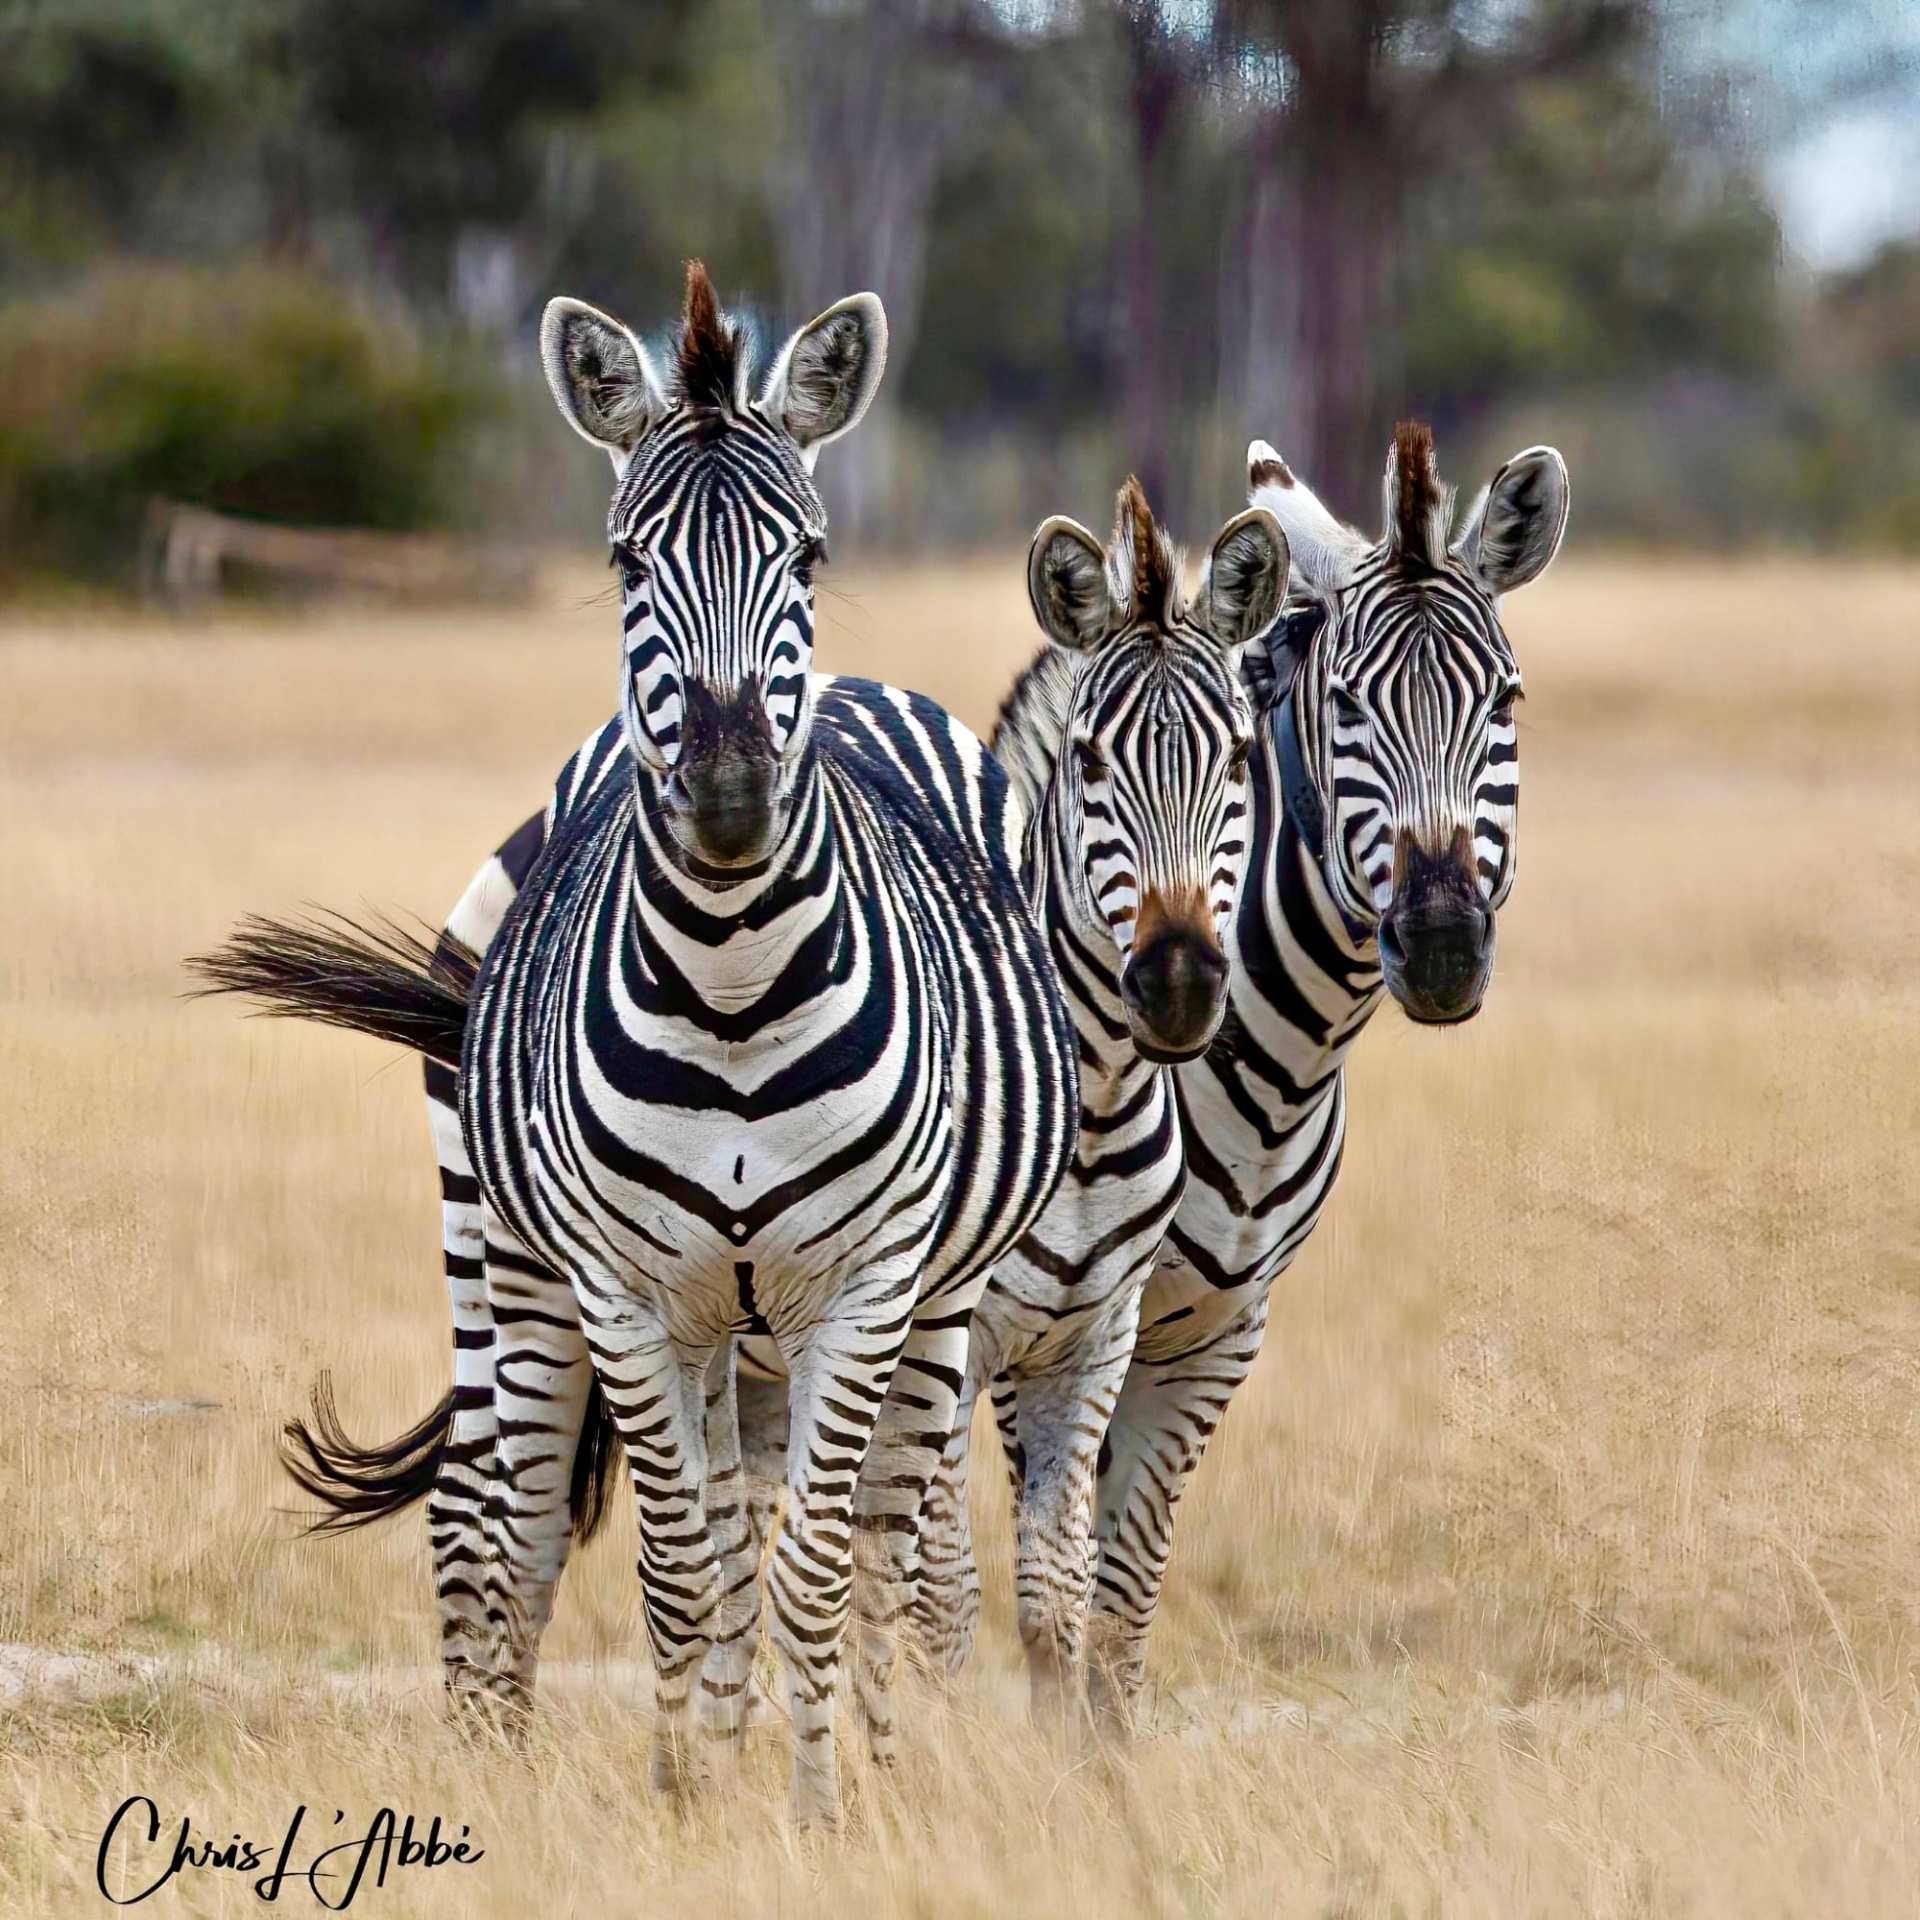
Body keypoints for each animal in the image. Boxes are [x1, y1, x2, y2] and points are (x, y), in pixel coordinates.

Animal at [204, 263, 1098, 1820]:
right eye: (627, 563)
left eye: (808, 555)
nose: (733, 791)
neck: (733, 990)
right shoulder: (624, 1293)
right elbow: (684, 1578)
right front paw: (689, 1796)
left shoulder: (860, 1292)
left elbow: (812, 1573)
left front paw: (813, 1811)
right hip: (513, 1264)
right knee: (499, 1514)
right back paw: (531, 1760)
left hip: (927, 1303)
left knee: (888, 1548)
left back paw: (879, 1759)